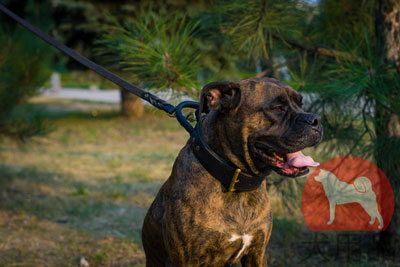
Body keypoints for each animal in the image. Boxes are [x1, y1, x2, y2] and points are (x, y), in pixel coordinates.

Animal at [142, 77, 324, 267]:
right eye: (277, 108)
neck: (237, 183)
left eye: (301, 104)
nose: (317, 119)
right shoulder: (184, 260)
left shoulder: (257, 253)